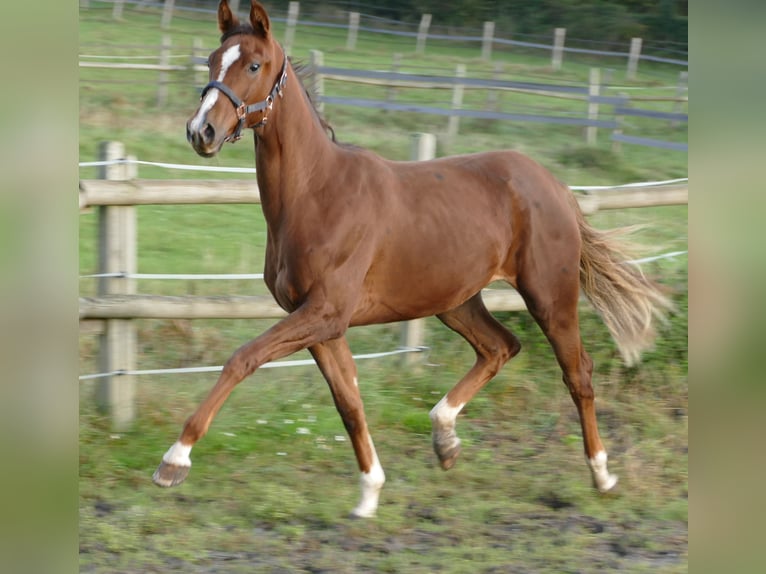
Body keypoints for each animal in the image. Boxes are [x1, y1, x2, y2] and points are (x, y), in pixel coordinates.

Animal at [154, 0, 672, 520]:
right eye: (211, 61)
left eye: (254, 65)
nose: (201, 131)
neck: (316, 194)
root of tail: (558, 188)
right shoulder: (321, 323)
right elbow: (349, 402)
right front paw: (369, 493)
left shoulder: (324, 312)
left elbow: (242, 359)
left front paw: (175, 461)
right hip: (455, 300)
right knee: (500, 347)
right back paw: (445, 438)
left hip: (549, 296)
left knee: (577, 372)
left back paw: (602, 474)